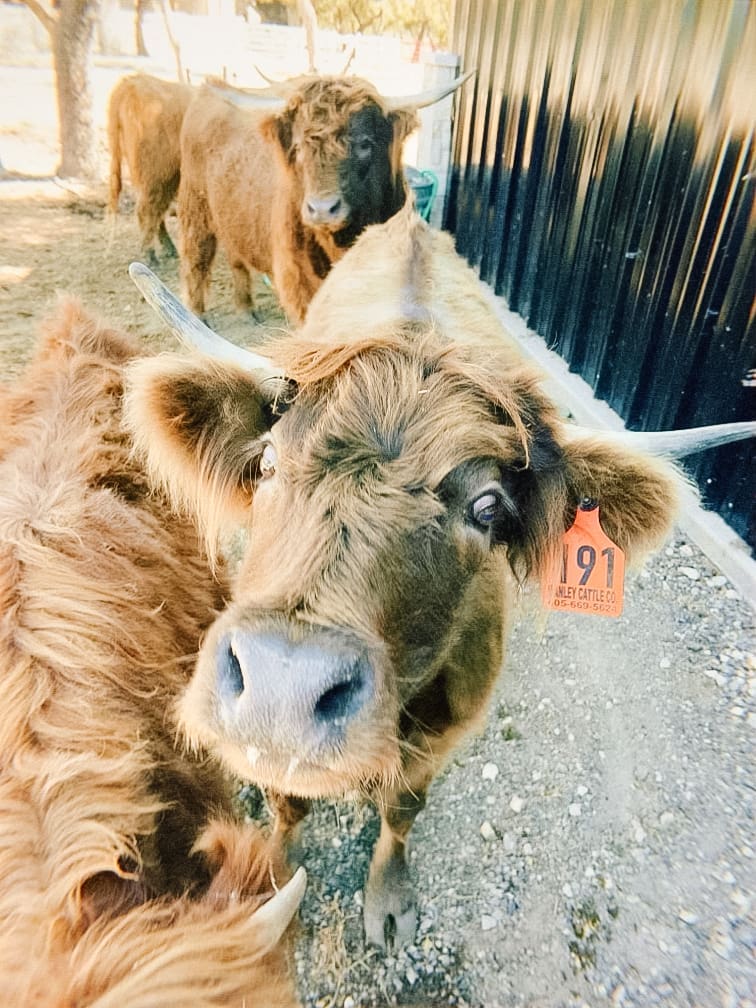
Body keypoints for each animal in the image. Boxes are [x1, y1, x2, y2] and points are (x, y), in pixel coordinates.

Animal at [107, 73, 194, 266]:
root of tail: (133, 81)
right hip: (156, 173)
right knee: (147, 209)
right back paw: (150, 255)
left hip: (163, 177)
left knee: (157, 210)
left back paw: (168, 249)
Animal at [123, 205, 755, 951]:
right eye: (269, 462)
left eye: (488, 508)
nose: (284, 684)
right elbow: (285, 799)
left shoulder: (445, 735)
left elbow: (402, 809)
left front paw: (389, 897)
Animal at [177, 71, 472, 324]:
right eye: (297, 148)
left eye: (365, 144)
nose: (321, 209)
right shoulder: (300, 285)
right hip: (195, 208)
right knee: (196, 259)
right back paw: (197, 315)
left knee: (236, 258)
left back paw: (246, 309)